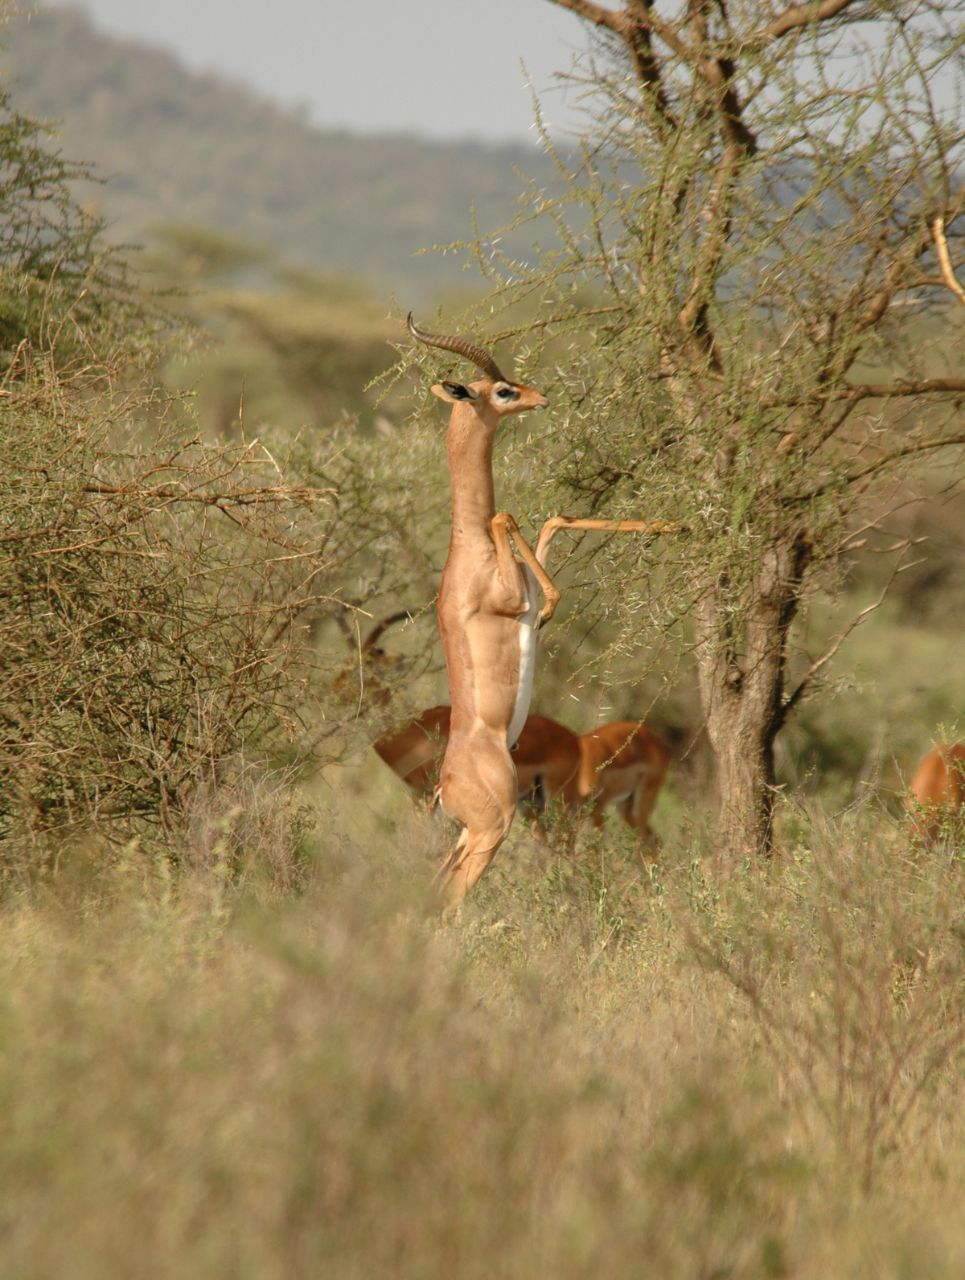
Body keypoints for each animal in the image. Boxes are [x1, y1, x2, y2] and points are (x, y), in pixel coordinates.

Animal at [406, 314, 675, 906]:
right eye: (502, 390)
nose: (541, 397)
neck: (467, 548)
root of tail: (445, 786)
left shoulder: (525, 583)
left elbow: (553, 519)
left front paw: (671, 523)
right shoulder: (512, 600)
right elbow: (506, 516)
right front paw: (554, 609)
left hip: (471, 833)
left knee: (438, 886)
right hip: (494, 827)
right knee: (454, 896)